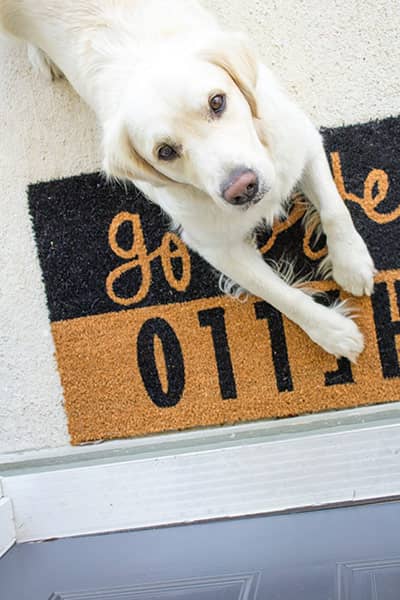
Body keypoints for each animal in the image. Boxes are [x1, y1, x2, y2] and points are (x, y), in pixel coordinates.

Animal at [0, 0, 376, 360]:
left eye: (217, 101)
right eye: (165, 151)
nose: (242, 188)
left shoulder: (302, 140)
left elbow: (334, 208)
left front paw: (351, 261)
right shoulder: (214, 244)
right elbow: (280, 295)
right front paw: (331, 331)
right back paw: (41, 56)